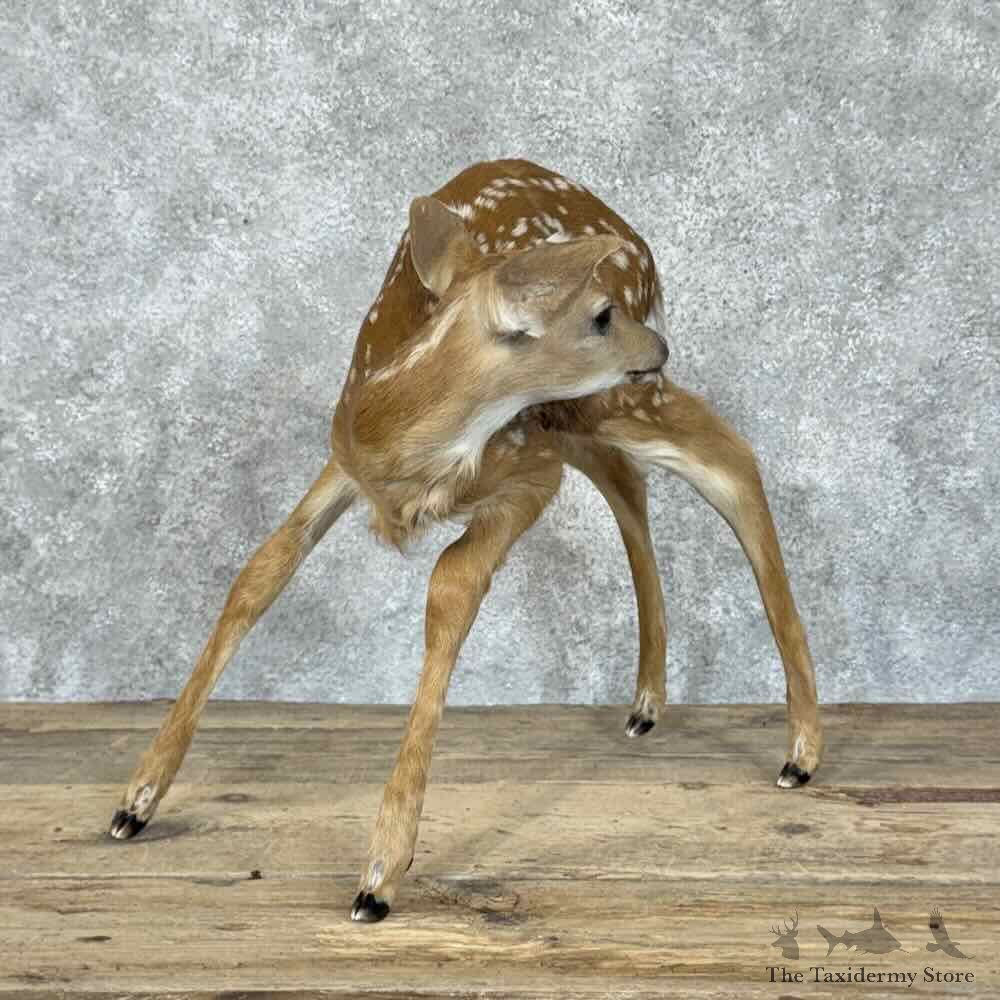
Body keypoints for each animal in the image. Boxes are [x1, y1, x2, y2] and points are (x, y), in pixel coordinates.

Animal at [108, 157, 823, 923]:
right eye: (599, 316)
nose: (658, 345)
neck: (411, 447)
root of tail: (638, 244)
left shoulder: (528, 474)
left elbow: (449, 584)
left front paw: (382, 871)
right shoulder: (346, 463)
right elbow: (262, 569)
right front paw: (138, 799)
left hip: (613, 403)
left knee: (732, 462)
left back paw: (801, 752)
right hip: (581, 414)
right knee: (631, 479)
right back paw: (647, 705)